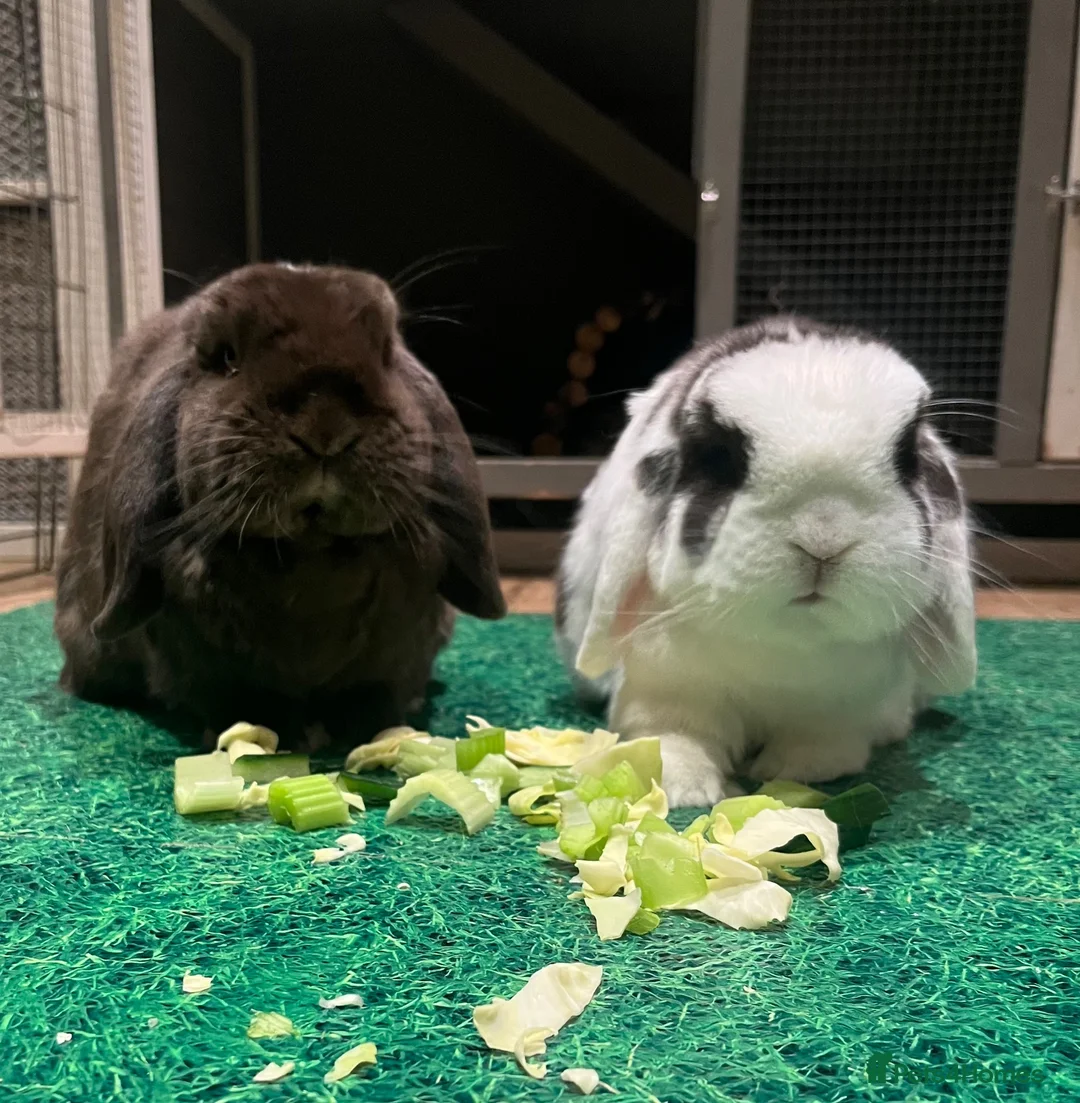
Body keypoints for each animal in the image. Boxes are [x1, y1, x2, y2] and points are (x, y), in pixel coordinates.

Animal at [54, 262, 506, 746]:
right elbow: (235, 698)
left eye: (386, 353)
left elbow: (375, 694)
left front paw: (369, 731)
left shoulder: (394, 658)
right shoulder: (211, 671)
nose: (325, 426)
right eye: (227, 358)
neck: (312, 557)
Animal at [555, 316, 976, 808]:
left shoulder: (841, 706)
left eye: (906, 455)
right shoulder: (666, 690)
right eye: (719, 457)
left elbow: (821, 742)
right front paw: (689, 790)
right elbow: (676, 737)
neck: (786, 648)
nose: (824, 539)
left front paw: (801, 772)